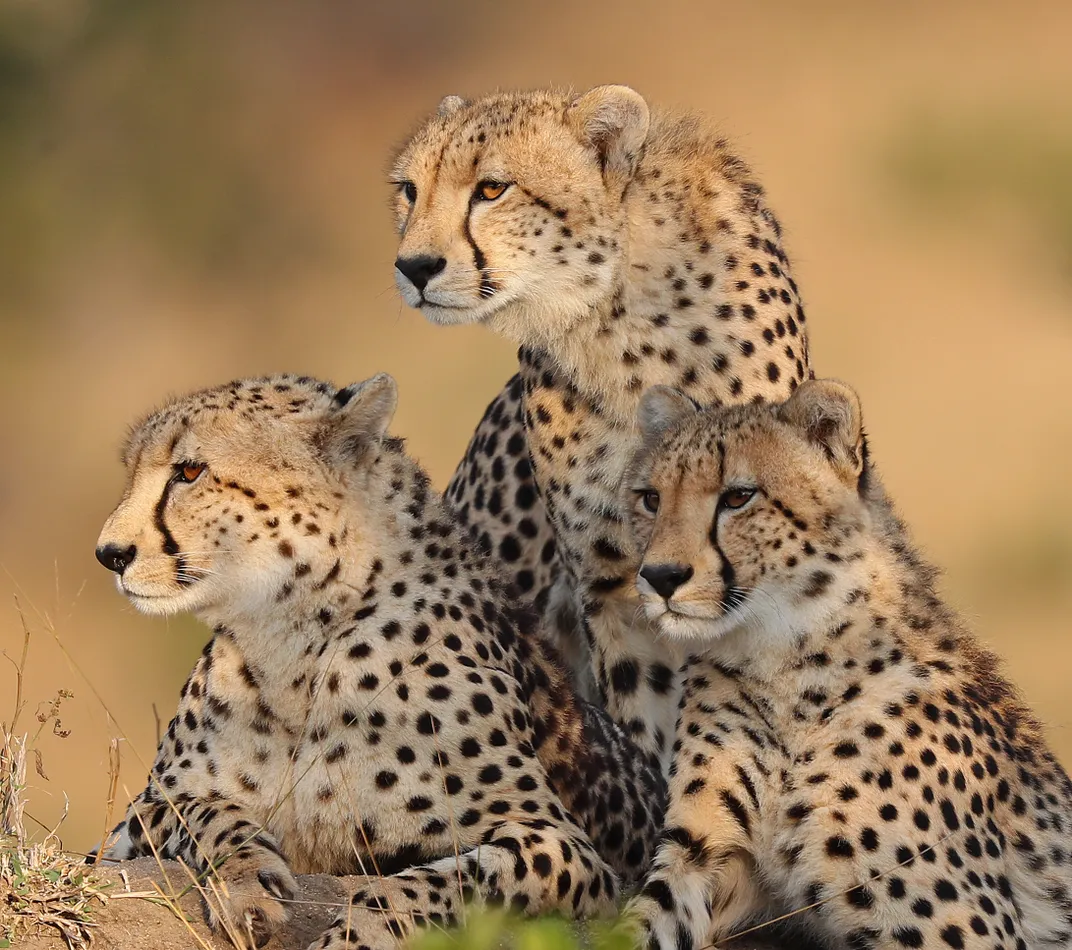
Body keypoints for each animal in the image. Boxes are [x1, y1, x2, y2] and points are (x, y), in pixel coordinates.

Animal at [94, 375, 660, 947]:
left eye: (189, 472)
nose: (110, 554)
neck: (293, 643)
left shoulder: (559, 843)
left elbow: (429, 883)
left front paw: (350, 935)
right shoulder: (131, 825)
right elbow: (202, 813)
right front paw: (249, 886)